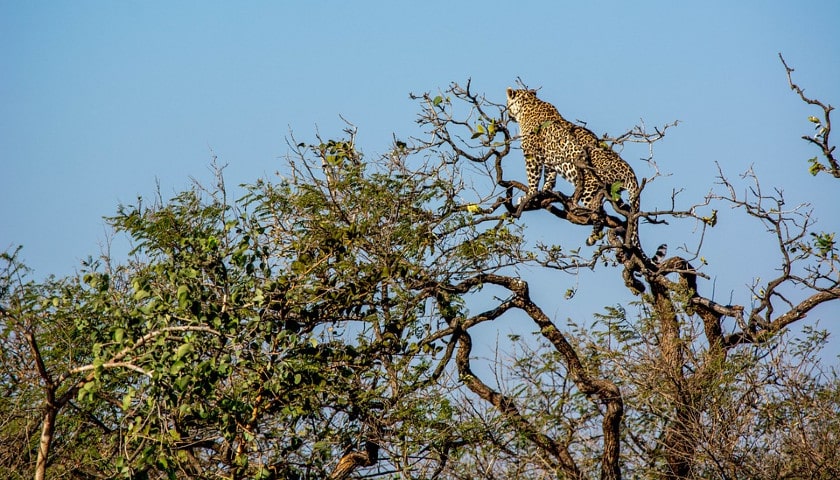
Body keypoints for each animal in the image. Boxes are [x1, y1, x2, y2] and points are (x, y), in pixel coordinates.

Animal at [506, 85, 644, 248]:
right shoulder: (550, 159)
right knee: (624, 209)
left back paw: (592, 235)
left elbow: (533, 177)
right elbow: (549, 177)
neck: (529, 105)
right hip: (613, 193)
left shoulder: (532, 155)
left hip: (590, 189)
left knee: (600, 215)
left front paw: (530, 195)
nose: (508, 114)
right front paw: (545, 192)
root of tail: (628, 170)